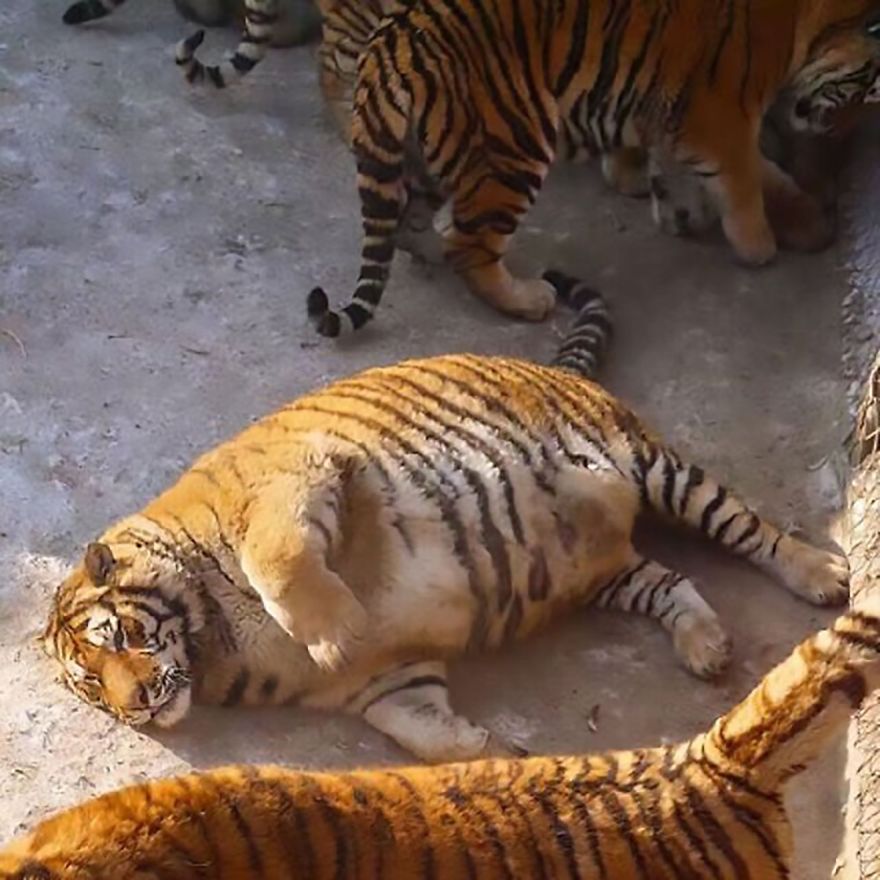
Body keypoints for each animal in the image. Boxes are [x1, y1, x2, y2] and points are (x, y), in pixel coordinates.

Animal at [42, 270, 849, 765]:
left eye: (120, 637)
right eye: (92, 685)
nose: (137, 707)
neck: (215, 645)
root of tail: (555, 366)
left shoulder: (294, 483)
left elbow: (281, 562)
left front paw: (336, 631)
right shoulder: (387, 681)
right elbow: (426, 736)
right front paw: (493, 752)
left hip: (657, 467)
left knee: (751, 530)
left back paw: (824, 573)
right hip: (607, 575)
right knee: (672, 582)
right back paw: (706, 647)